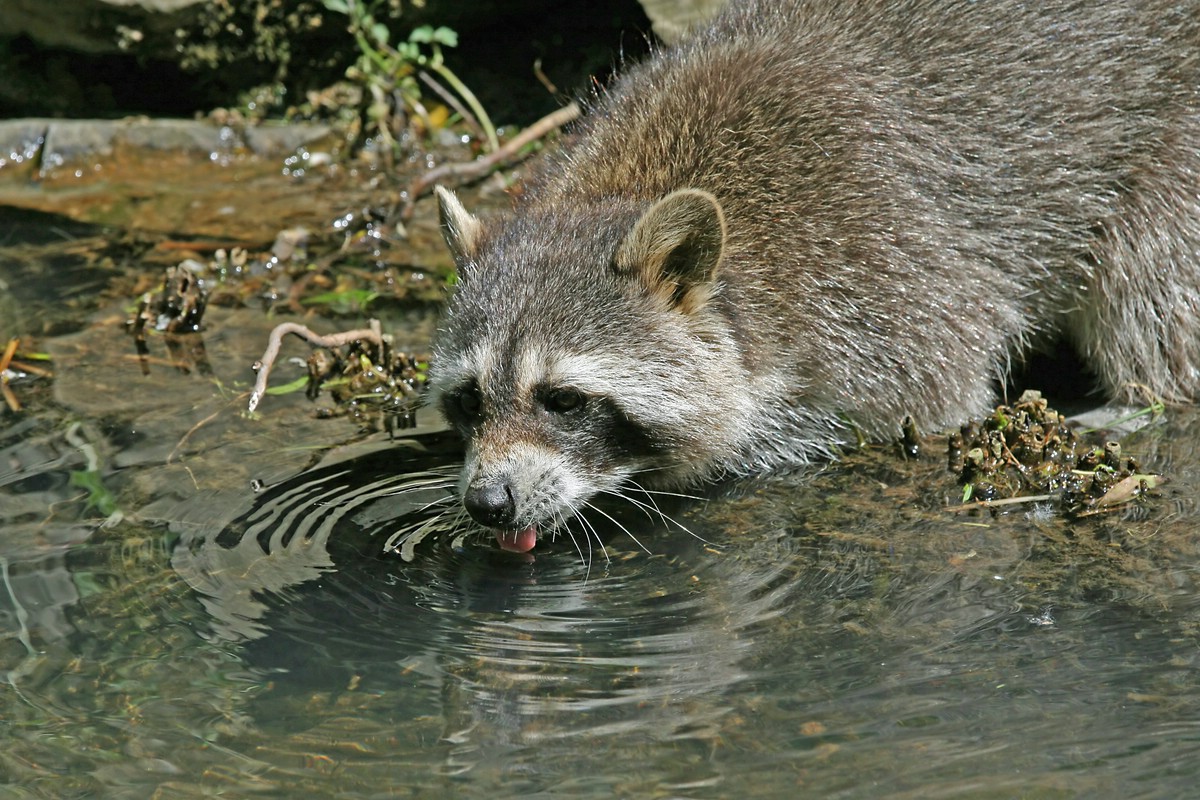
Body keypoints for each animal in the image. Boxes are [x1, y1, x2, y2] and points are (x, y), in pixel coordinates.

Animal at [427, 0, 1200, 551]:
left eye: (562, 400)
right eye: (469, 400)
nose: (487, 503)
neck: (625, 186)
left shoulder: (886, 277)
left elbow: (940, 397)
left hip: (1175, 154)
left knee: (1150, 290)